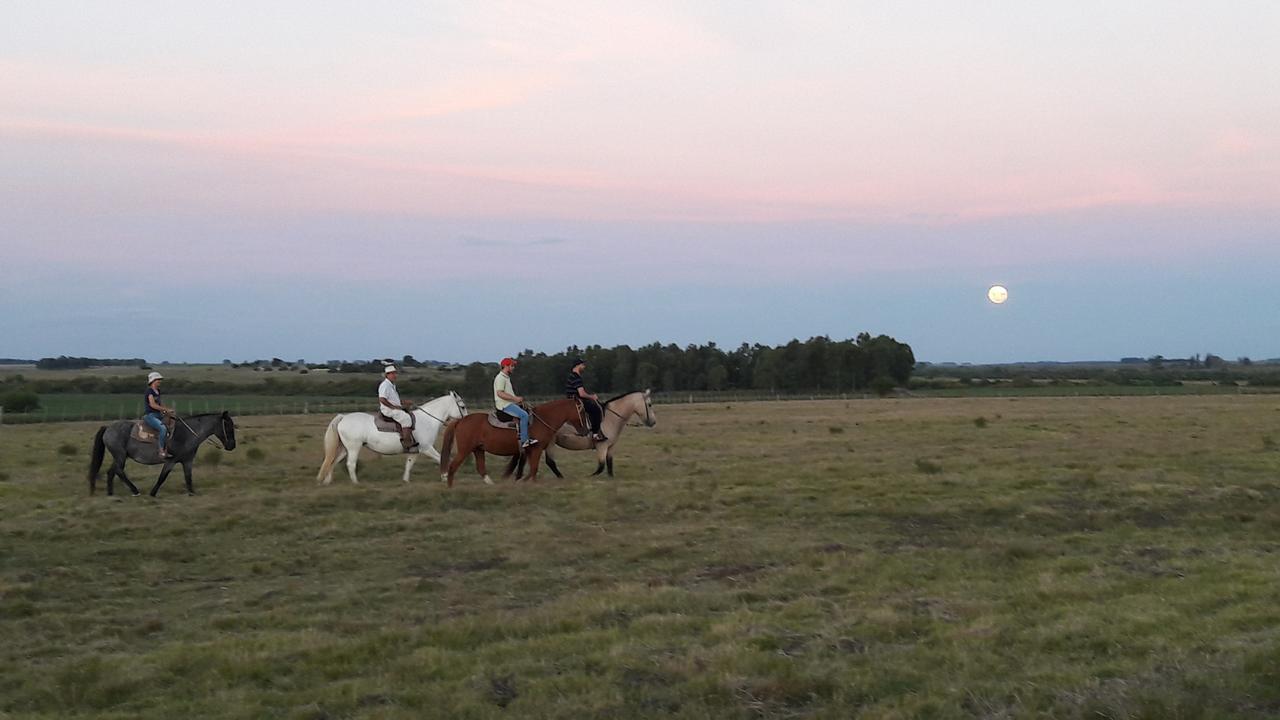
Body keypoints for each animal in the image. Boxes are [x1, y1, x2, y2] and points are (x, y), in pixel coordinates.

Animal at [88, 412, 239, 497]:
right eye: (227, 425)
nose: (232, 446)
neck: (186, 434)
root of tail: (108, 428)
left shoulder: (187, 461)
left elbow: (188, 477)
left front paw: (192, 493)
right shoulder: (170, 461)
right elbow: (162, 477)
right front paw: (153, 493)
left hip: (119, 456)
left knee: (111, 472)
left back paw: (110, 493)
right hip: (120, 456)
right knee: (119, 471)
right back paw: (135, 491)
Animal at [316, 389, 471, 484]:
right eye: (462, 406)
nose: (467, 421)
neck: (427, 420)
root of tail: (343, 417)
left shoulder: (415, 451)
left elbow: (409, 464)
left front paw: (405, 481)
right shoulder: (427, 448)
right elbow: (441, 459)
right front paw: (445, 477)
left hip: (344, 448)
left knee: (332, 462)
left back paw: (327, 481)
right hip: (354, 448)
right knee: (350, 464)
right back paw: (356, 483)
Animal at [437, 394, 583, 484]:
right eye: (581, 411)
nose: (584, 431)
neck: (541, 420)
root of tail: (460, 421)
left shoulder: (529, 451)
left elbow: (529, 469)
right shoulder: (536, 449)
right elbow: (533, 469)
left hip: (478, 449)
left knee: (481, 468)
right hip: (464, 450)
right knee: (452, 467)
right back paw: (450, 487)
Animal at [504, 386, 655, 476]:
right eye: (649, 404)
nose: (653, 422)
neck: (611, 418)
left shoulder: (610, 447)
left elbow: (609, 465)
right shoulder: (602, 446)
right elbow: (601, 466)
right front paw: (591, 477)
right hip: (550, 443)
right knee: (550, 462)